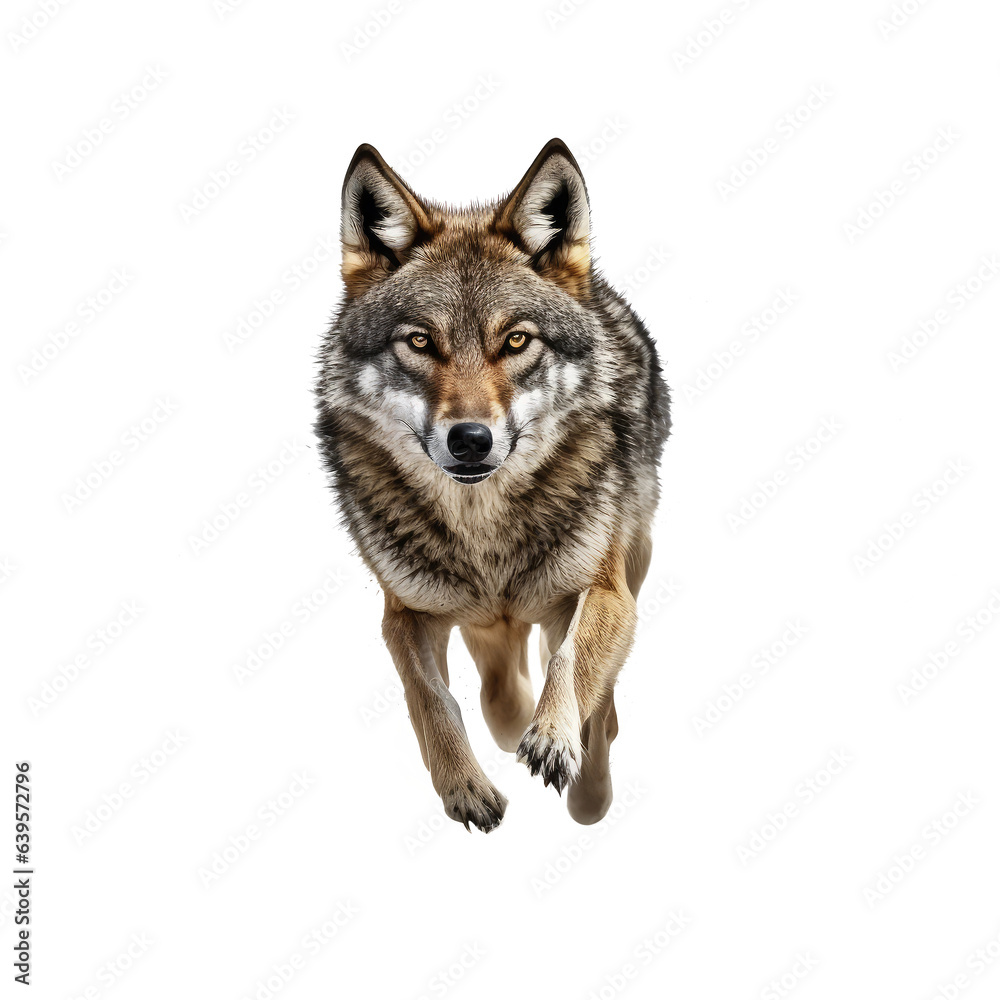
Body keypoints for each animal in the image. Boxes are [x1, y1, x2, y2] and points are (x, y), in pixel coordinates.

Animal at [314, 138, 670, 832]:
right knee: (497, 682)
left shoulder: (605, 593)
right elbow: (432, 699)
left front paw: (561, 749)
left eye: (516, 340)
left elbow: (573, 666)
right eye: (420, 341)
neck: (485, 537)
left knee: (593, 695)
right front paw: (465, 786)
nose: (471, 440)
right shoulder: (405, 613)